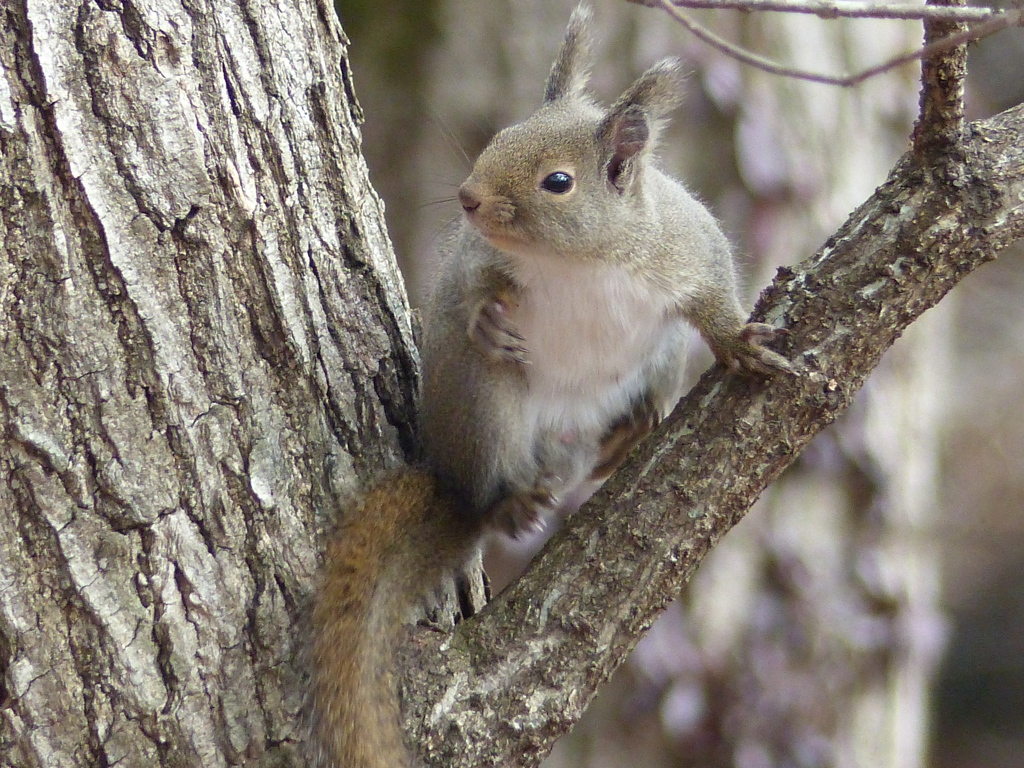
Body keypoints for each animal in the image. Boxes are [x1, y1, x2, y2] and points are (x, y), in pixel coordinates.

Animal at [303, 6, 790, 768]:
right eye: (499, 136)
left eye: (557, 182)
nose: (468, 197)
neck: (578, 262)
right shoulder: (479, 260)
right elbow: (468, 286)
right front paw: (481, 314)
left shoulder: (688, 249)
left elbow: (713, 299)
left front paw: (738, 342)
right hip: (488, 408)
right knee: (491, 490)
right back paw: (510, 502)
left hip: (654, 361)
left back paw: (633, 428)